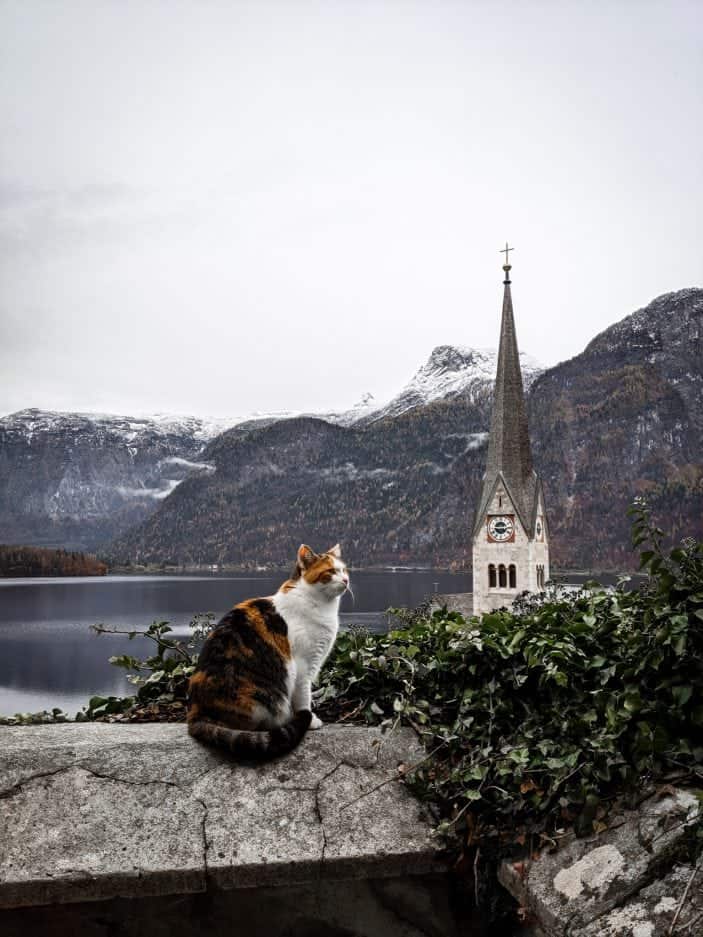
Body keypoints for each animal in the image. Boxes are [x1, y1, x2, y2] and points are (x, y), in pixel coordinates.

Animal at [187, 544, 350, 756]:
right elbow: (304, 697)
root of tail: (196, 710)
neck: (321, 604)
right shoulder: (304, 667)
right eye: (330, 571)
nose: (346, 580)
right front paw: (311, 719)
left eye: (344, 570)